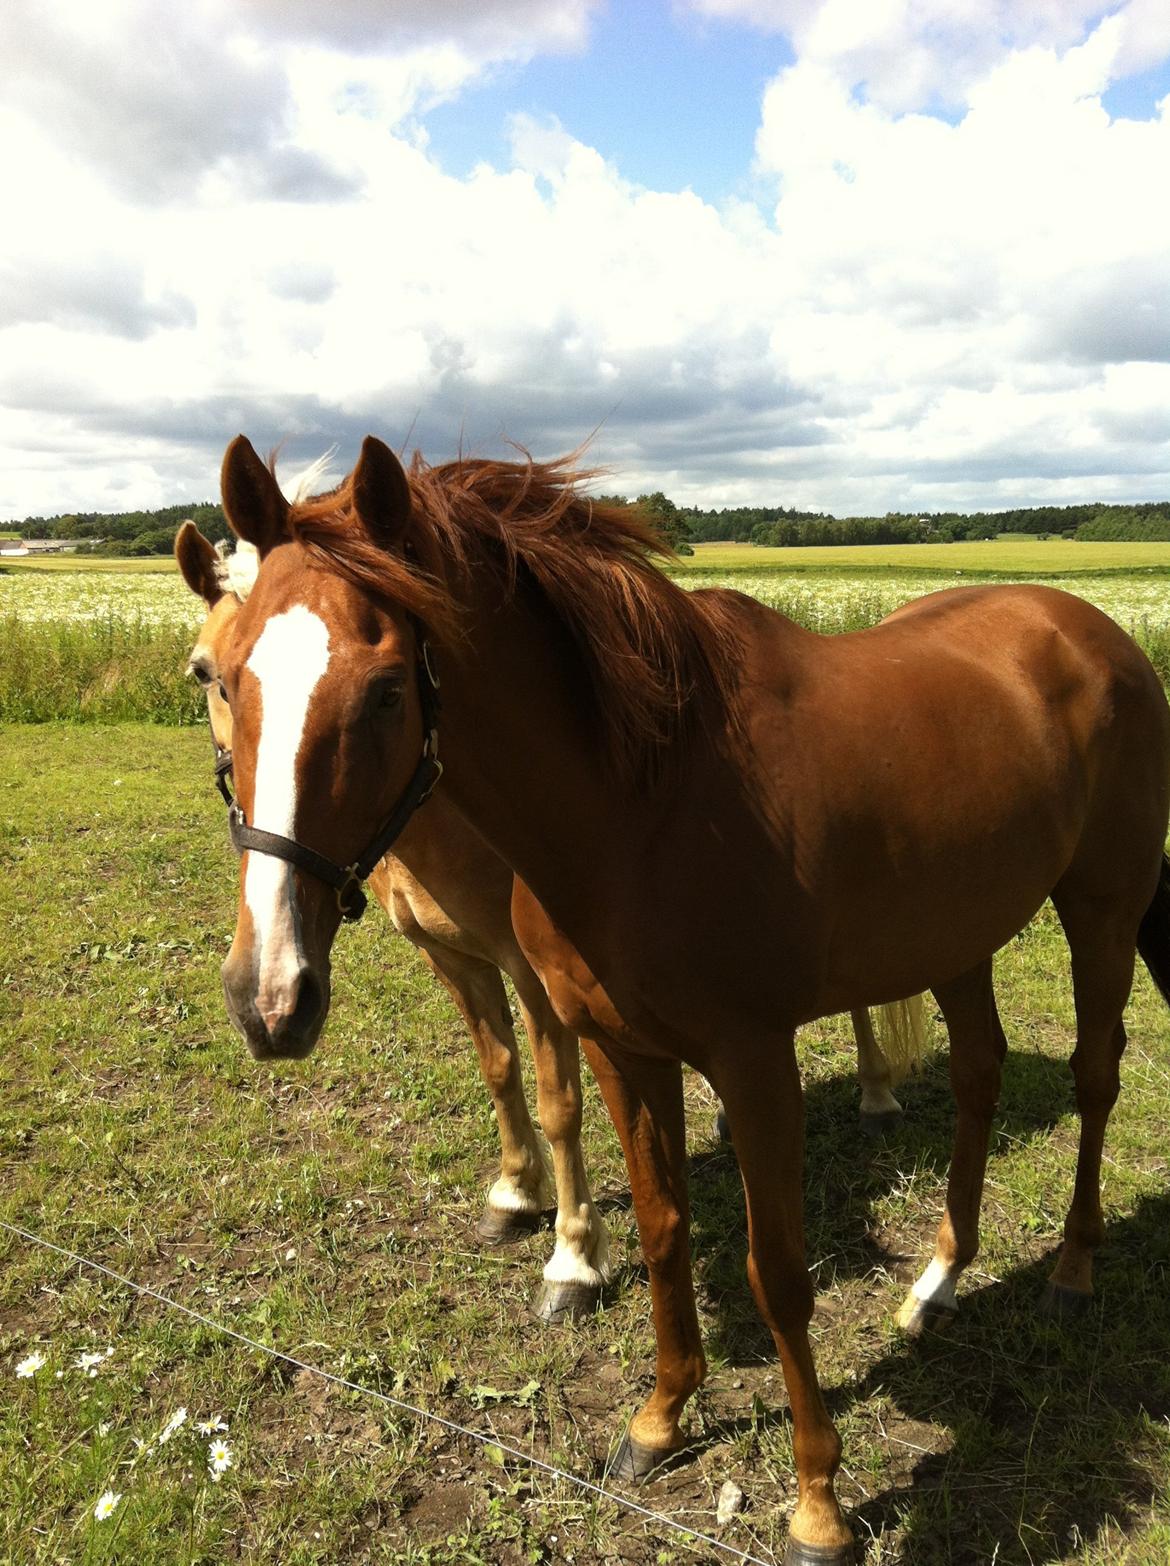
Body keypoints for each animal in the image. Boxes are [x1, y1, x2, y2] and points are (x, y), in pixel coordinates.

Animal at [173, 516, 927, 1321]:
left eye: (385, 689)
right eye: (206, 672)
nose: (269, 1000)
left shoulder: (535, 973)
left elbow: (558, 1100)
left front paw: (574, 1256)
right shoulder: (453, 960)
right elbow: (499, 1069)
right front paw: (514, 1193)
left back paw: (877, 1091)